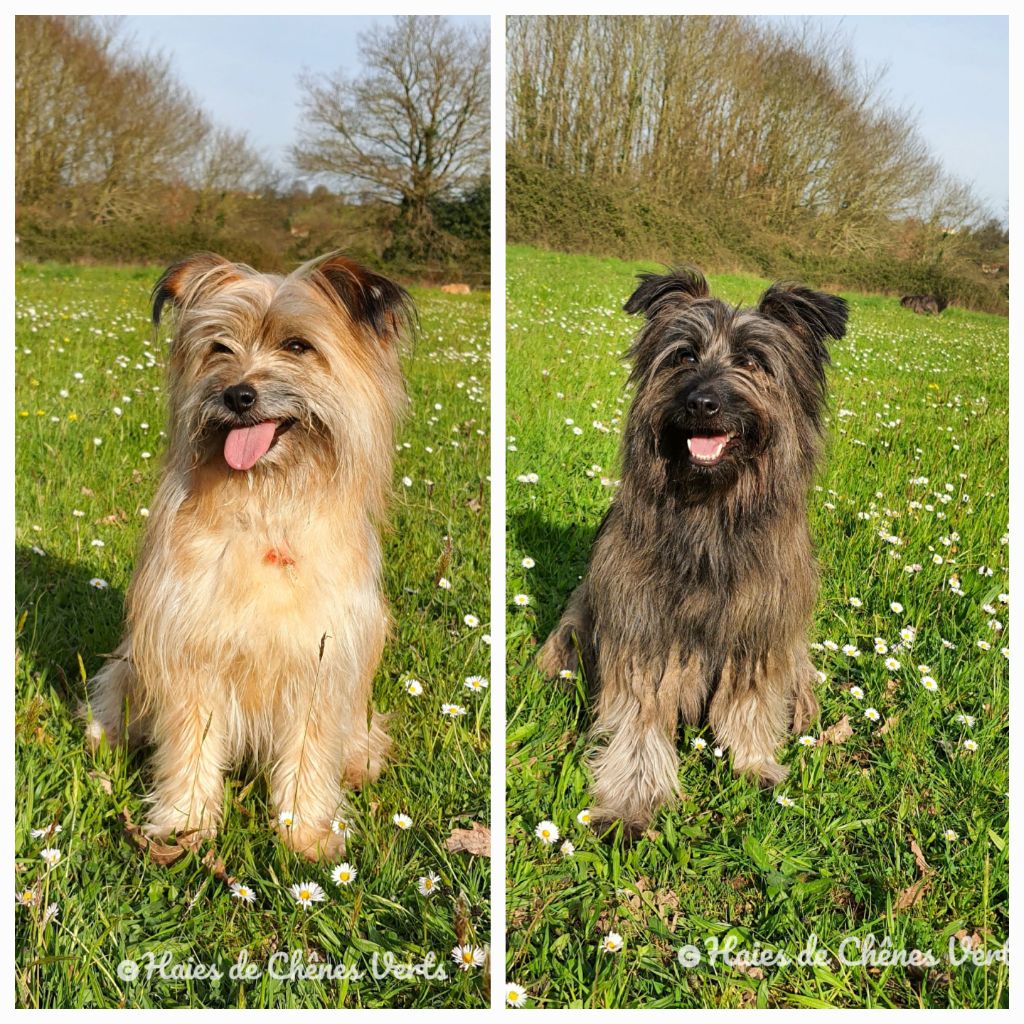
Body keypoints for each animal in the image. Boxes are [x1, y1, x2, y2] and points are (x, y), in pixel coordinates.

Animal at [84, 251, 411, 860]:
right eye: (219, 346)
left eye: (298, 346)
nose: (237, 395)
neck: (264, 506)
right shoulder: (189, 650)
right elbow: (189, 745)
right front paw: (184, 825)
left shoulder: (320, 661)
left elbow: (309, 753)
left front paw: (305, 831)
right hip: (128, 667)